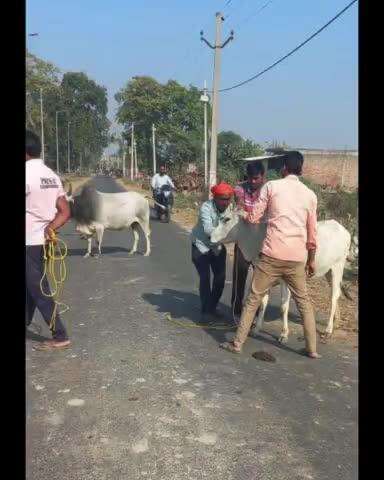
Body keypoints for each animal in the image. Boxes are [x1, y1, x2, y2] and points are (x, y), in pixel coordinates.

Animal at [212, 212, 352, 340]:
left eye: (227, 219)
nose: (210, 237)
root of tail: (343, 229)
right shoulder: (263, 276)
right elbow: (263, 302)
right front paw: (256, 329)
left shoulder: (285, 280)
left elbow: (284, 306)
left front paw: (284, 333)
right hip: (328, 271)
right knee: (335, 294)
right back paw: (336, 321)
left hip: (337, 267)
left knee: (334, 296)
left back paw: (328, 329)